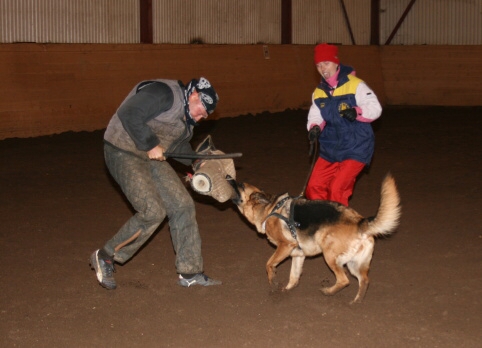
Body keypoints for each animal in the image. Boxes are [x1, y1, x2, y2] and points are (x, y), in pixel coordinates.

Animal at [228, 175, 402, 304]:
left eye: (241, 185)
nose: (228, 176)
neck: (269, 209)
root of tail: (360, 222)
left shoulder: (285, 246)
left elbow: (269, 264)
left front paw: (274, 284)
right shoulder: (298, 255)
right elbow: (294, 276)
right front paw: (286, 291)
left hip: (330, 256)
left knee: (344, 280)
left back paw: (328, 292)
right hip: (355, 264)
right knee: (364, 280)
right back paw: (356, 302)